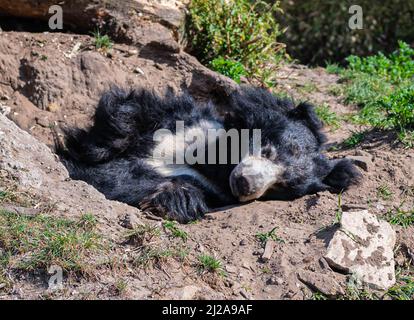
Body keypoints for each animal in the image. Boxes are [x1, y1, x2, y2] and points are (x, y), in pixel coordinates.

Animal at [56, 86, 360, 224]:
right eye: (268, 150)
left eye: (280, 187)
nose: (245, 183)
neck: (215, 162)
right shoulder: (182, 120)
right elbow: (128, 113)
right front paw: (104, 144)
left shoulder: (212, 188)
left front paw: (177, 197)